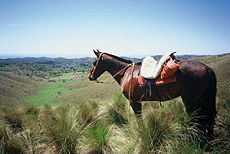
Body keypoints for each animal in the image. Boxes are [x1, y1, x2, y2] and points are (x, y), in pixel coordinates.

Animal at [88, 49, 216, 135]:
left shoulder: (134, 102)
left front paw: (141, 133)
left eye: (94, 62)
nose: (90, 76)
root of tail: (207, 68)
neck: (126, 73)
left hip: (190, 99)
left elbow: (139, 119)